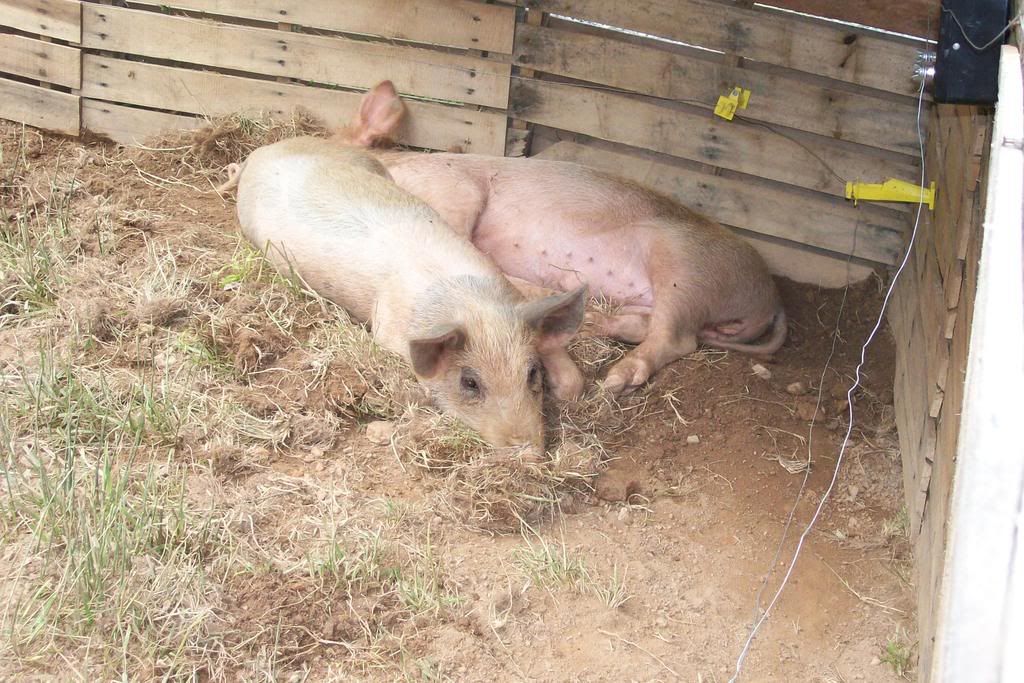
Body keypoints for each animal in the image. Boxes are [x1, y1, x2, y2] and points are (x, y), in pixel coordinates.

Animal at [216, 115, 587, 452]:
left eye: (532, 373)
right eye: (470, 382)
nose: (528, 454)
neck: (466, 301)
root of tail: (261, 152)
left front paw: (568, 388)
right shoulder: (387, 329)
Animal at [344, 81, 787, 396]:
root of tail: (769, 298)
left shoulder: (452, 192)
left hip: (686, 267)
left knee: (677, 339)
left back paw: (615, 381)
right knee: (642, 326)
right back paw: (591, 323)